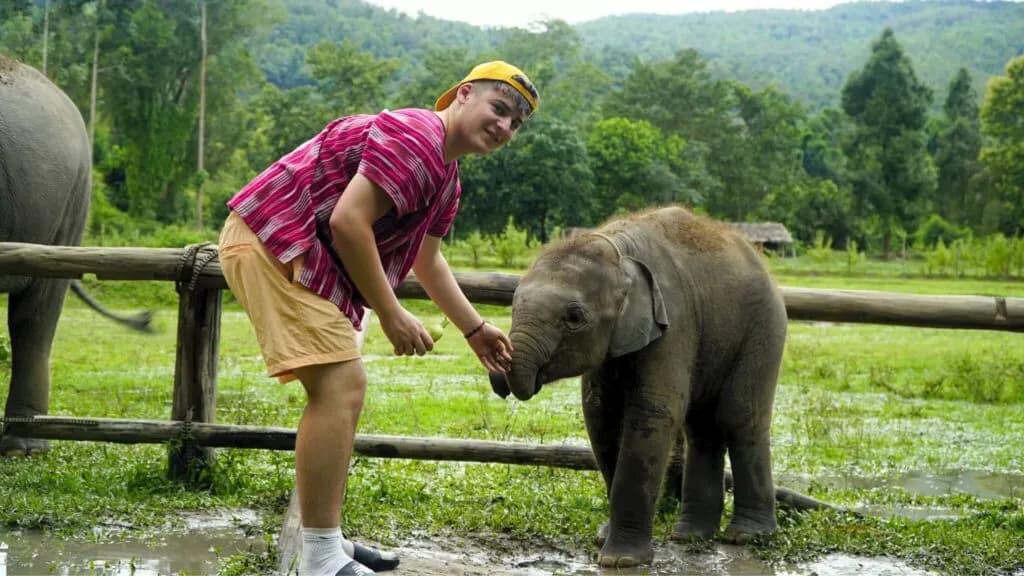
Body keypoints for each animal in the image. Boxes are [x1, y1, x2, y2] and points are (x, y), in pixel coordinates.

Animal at [489, 205, 788, 567]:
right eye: (514, 303)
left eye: (574, 317)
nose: (499, 375)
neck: (618, 251)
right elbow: (600, 418)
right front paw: (604, 537)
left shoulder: (673, 320)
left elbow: (652, 411)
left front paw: (620, 560)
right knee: (702, 427)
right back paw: (690, 535)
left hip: (764, 328)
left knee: (739, 417)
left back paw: (747, 536)